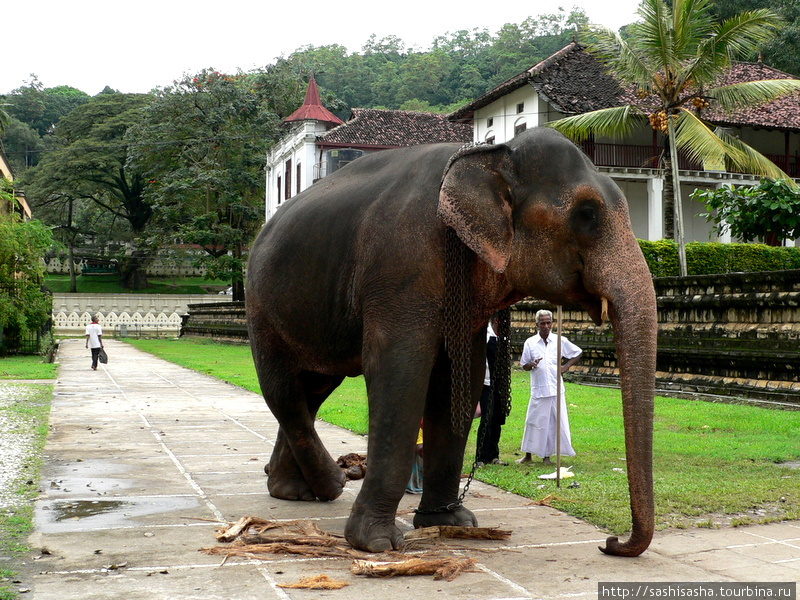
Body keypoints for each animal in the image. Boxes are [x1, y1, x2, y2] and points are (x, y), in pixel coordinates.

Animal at [247, 126, 660, 556]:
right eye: (587, 214)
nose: (611, 542)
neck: (489, 156)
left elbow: (459, 378)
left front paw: (450, 522)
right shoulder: (400, 269)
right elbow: (400, 372)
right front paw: (377, 543)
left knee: (312, 389)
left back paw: (293, 491)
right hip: (260, 305)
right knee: (283, 389)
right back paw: (330, 484)